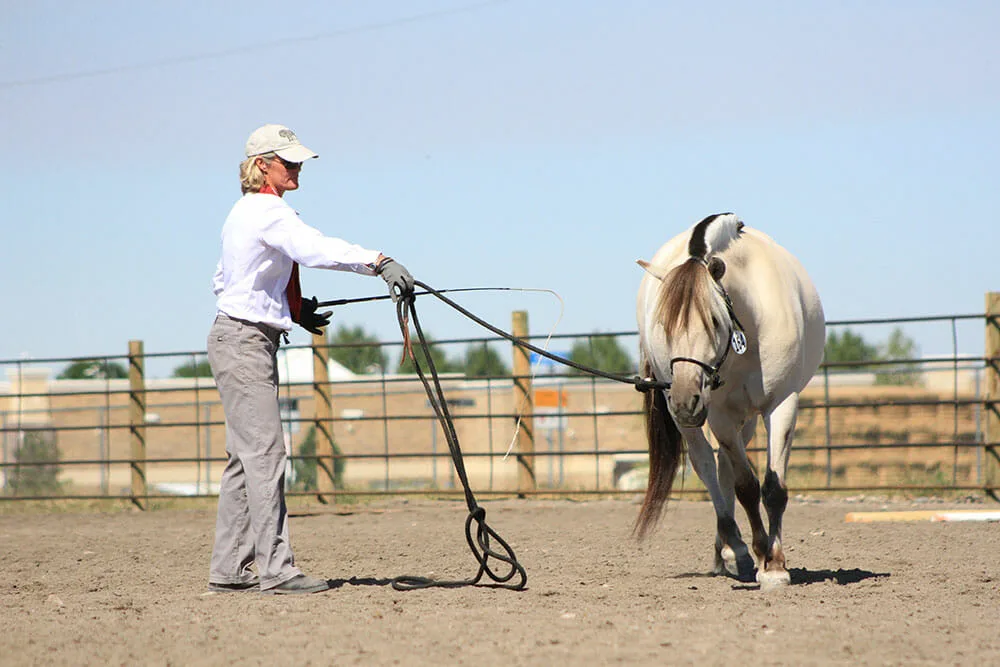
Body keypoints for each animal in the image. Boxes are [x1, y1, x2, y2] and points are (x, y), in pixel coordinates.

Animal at [634, 213, 825, 588]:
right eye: (663, 324)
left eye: (714, 320)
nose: (684, 401)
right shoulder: (718, 413)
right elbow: (745, 486)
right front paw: (762, 555)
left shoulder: (782, 403)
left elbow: (773, 488)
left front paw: (775, 565)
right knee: (707, 465)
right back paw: (734, 548)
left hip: (741, 418)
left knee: (722, 465)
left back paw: (725, 553)